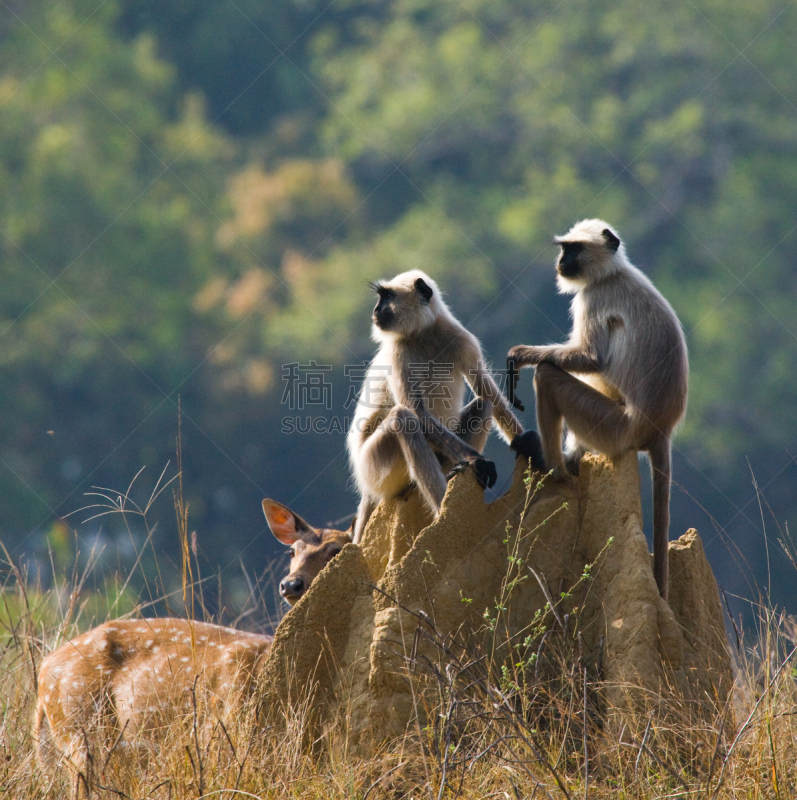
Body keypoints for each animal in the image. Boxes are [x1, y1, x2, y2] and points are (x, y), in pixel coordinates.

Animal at [34, 500, 352, 792]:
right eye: (292, 551)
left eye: (336, 550)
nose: (291, 584)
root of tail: (44, 669)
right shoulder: (223, 727)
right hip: (80, 724)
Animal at [348, 270, 536, 544]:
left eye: (387, 297)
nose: (375, 310)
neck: (423, 334)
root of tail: (364, 487)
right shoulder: (396, 353)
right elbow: (416, 411)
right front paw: (477, 460)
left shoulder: (462, 339)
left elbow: (485, 389)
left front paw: (526, 441)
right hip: (373, 468)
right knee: (403, 418)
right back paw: (442, 514)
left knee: (483, 405)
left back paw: (453, 476)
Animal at [506, 220, 688, 600]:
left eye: (574, 249)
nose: (561, 262)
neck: (612, 273)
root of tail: (660, 429)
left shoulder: (592, 298)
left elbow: (591, 358)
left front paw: (520, 355)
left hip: (614, 428)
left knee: (548, 375)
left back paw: (553, 468)